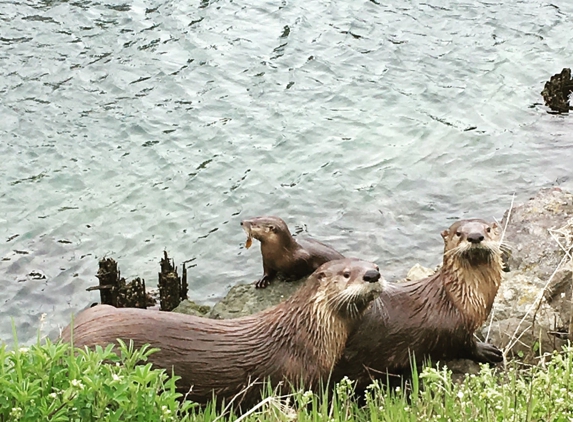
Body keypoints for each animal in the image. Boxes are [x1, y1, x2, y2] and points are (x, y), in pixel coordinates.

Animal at [332, 221, 502, 390]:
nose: (475, 236)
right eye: (459, 233)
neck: (458, 299)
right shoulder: (454, 331)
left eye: (487, 229)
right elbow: (465, 346)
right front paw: (486, 351)